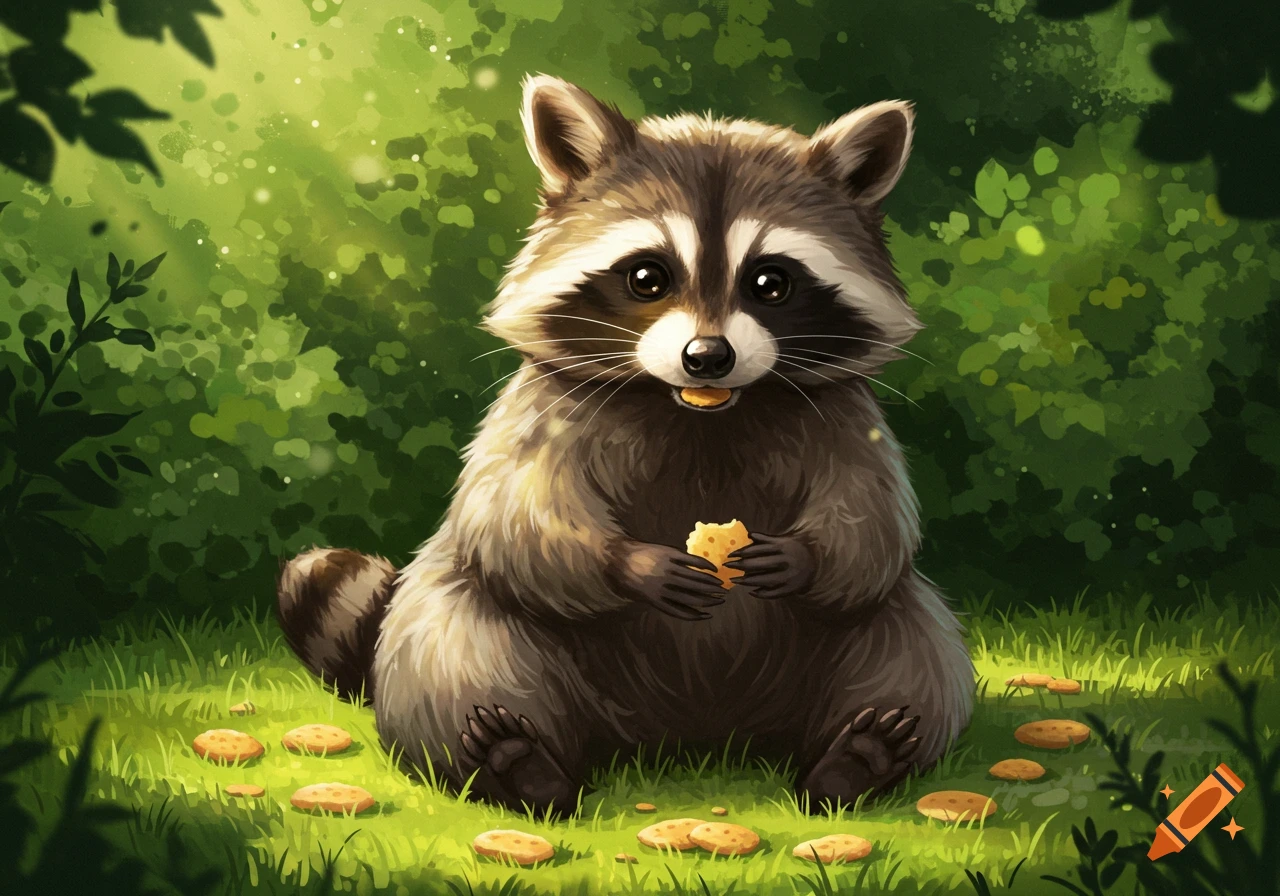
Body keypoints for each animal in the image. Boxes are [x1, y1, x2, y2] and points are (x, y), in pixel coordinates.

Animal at [278, 75, 974, 815]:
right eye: (647, 277)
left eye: (771, 282)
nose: (708, 357)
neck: (699, 411)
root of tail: (690, 736)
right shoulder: (541, 410)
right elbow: (516, 520)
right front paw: (630, 564)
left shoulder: (846, 420)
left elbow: (871, 532)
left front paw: (802, 557)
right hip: (472, 637)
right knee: (456, 638)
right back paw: (513, 758)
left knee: (910, 638)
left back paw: (862, 752)